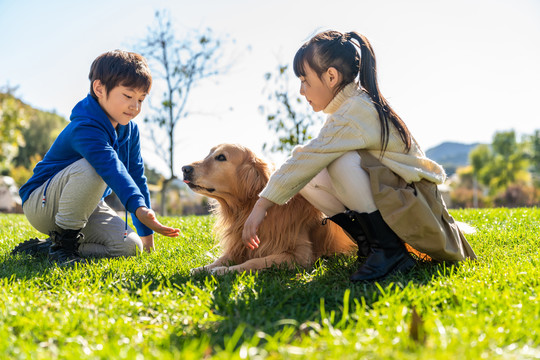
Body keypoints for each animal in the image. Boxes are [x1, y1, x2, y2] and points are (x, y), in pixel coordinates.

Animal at [184, 142, 356, 274]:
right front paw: (201, 268)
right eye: (208, 154)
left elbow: (255, 262)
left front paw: (224, 270)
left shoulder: (299, 255)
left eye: (221, 157)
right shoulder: (239, 247)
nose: (184, 168)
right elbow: (221, 259)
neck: (248, 207)